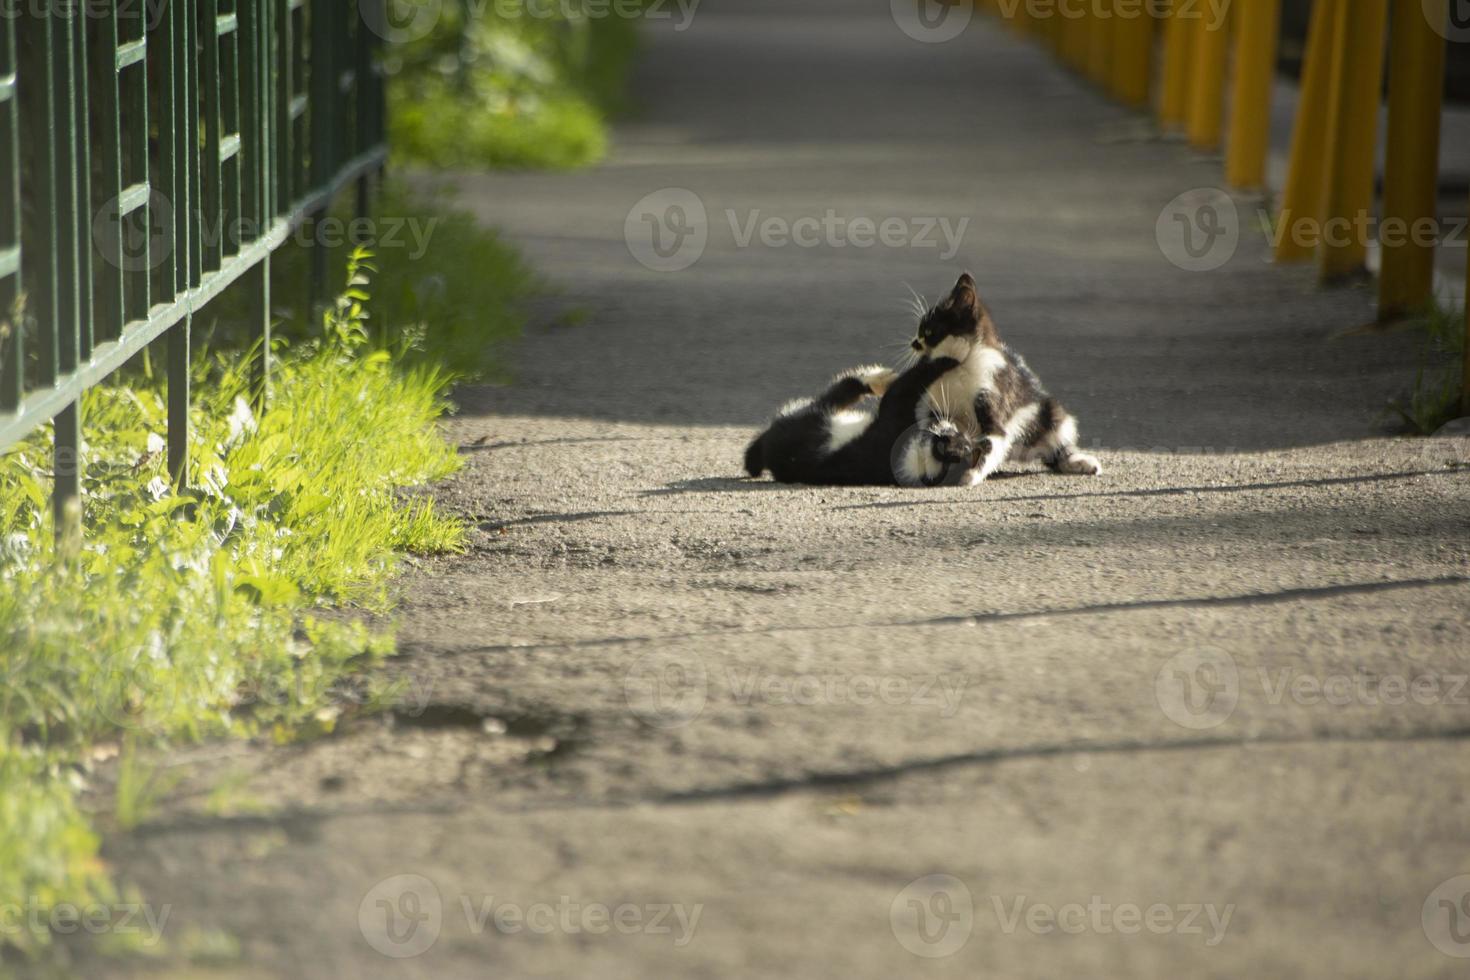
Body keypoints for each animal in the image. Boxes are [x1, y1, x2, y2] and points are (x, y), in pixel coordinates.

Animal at [746, 359, 976, 487]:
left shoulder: (893, 420)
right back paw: (881, 378)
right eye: (959, 435)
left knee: (843, 389)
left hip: (814, 414)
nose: (968, 438)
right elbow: (907, 388)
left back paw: (878, 379)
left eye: (960, 441)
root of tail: (767, 452)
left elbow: (903, 389)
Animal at [905, 271, 1105, 481]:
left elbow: (991, 440)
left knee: (1056, 438)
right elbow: (934, 431)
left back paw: (1079, 462)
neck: (958, 369)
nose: (913, 343)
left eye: (929, 331)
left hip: (1047, 412)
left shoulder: (992, 392)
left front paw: (971, 475)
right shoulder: (934, 406)